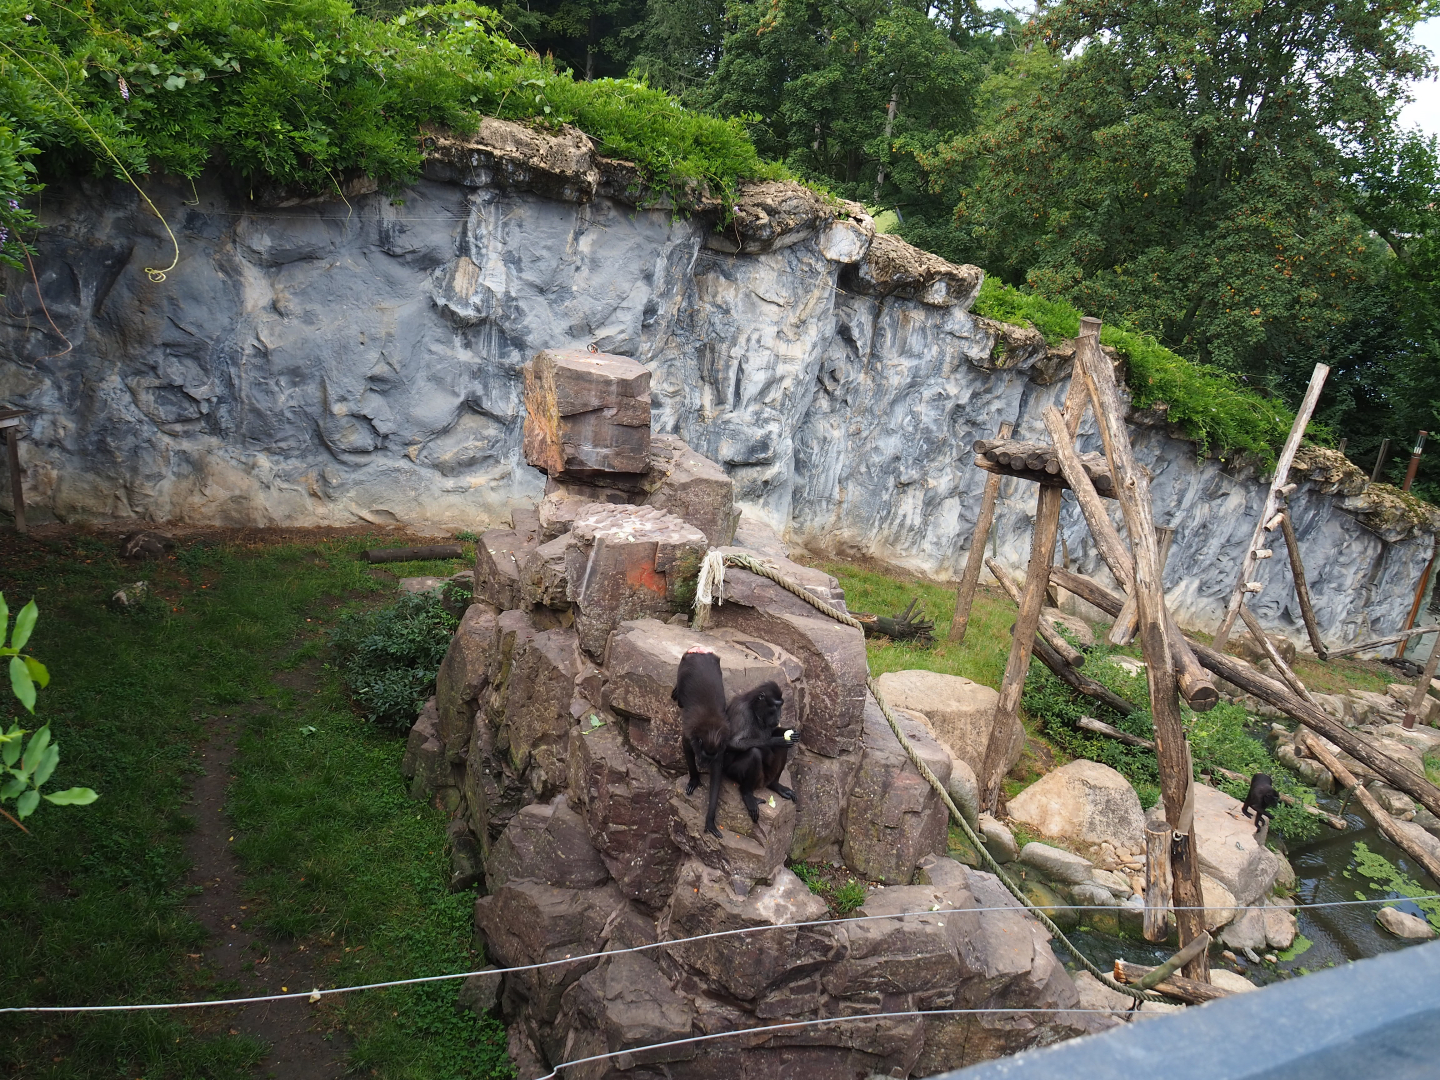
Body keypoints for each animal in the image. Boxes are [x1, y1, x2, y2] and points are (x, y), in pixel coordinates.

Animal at [673, 646, 731, 838]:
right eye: (703, 755)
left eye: (709, 758)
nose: (703, 763)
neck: (710, 728)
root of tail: (699, 651)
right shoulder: (689, 736)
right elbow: (687, 749)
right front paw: (694, 779)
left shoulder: (721, 746)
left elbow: (717, 773)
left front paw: (710, 820)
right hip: (683, 665)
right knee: (680, 697)